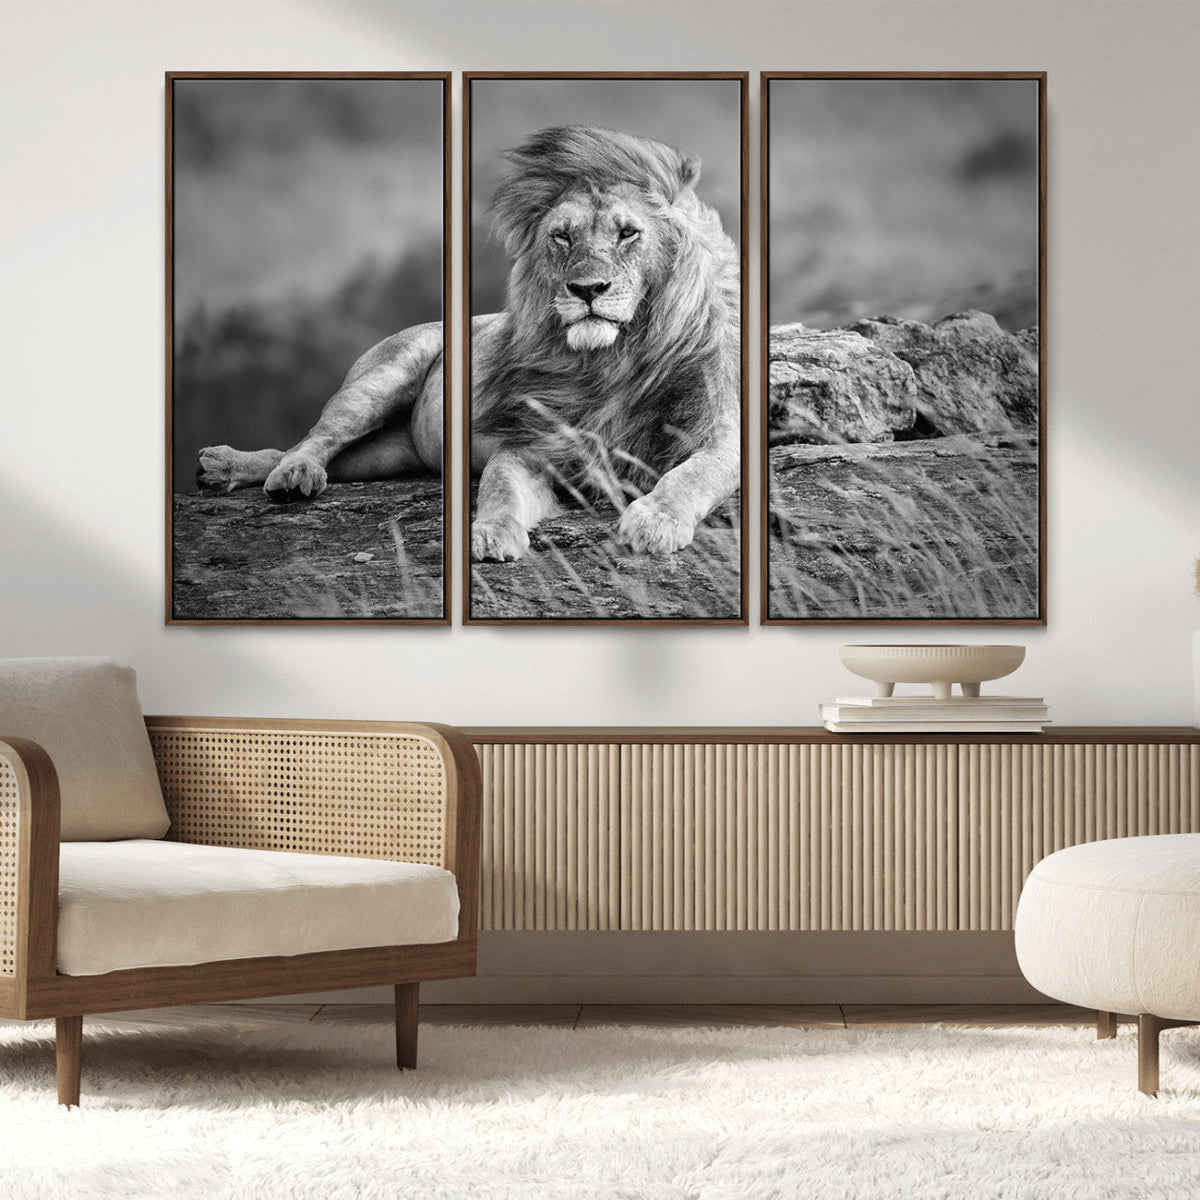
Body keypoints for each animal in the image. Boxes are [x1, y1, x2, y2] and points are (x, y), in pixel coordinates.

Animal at [196, 124, 742, 562]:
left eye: (628, 233)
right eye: (562, 237)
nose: (586, 289)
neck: (613, 360)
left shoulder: (721, 433)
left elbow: (692, 474)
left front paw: (653, 521)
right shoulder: (529, 444)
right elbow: (499, 489)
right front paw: (487, 534)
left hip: (391, 454)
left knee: (315, 452)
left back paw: (227, 469)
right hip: (379, 380)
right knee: (314, 439)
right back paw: (278, 473)